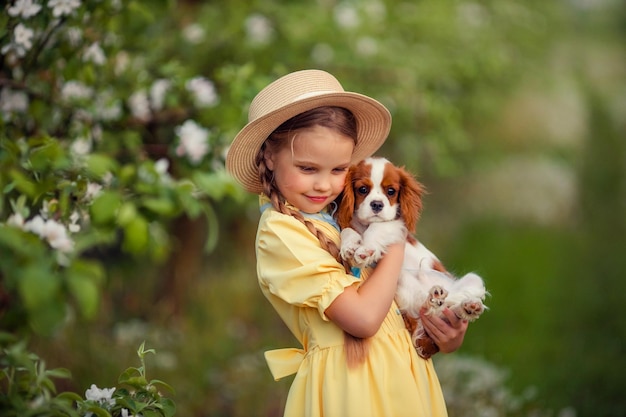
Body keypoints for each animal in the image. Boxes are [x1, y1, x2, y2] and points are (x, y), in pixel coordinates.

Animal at [336, 158, 488, 360]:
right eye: (362, 189)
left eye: (391, 191)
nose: (377, 204)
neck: (365, 224)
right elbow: (347, 229)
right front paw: (350, 247)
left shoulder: (395, 224)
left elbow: (378, 228)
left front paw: (365, 249)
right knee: (432, 307)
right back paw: (438, 299)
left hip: (473, 280)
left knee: (449, 306)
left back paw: (467, 306)